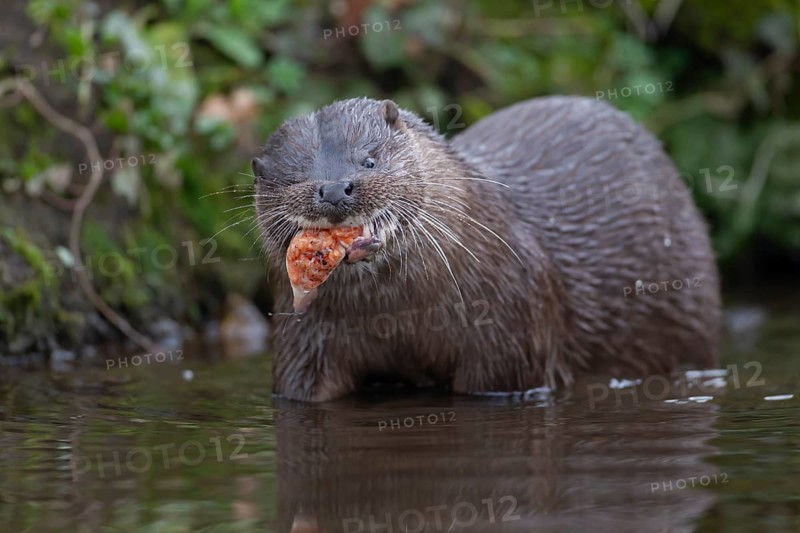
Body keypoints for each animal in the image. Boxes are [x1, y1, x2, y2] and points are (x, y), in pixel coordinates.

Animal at [252, 97, 720, 402]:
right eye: (293, 178)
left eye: (369, 159)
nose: (334, 189)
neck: (398, 315)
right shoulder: (302, 342)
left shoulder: (509, 338)